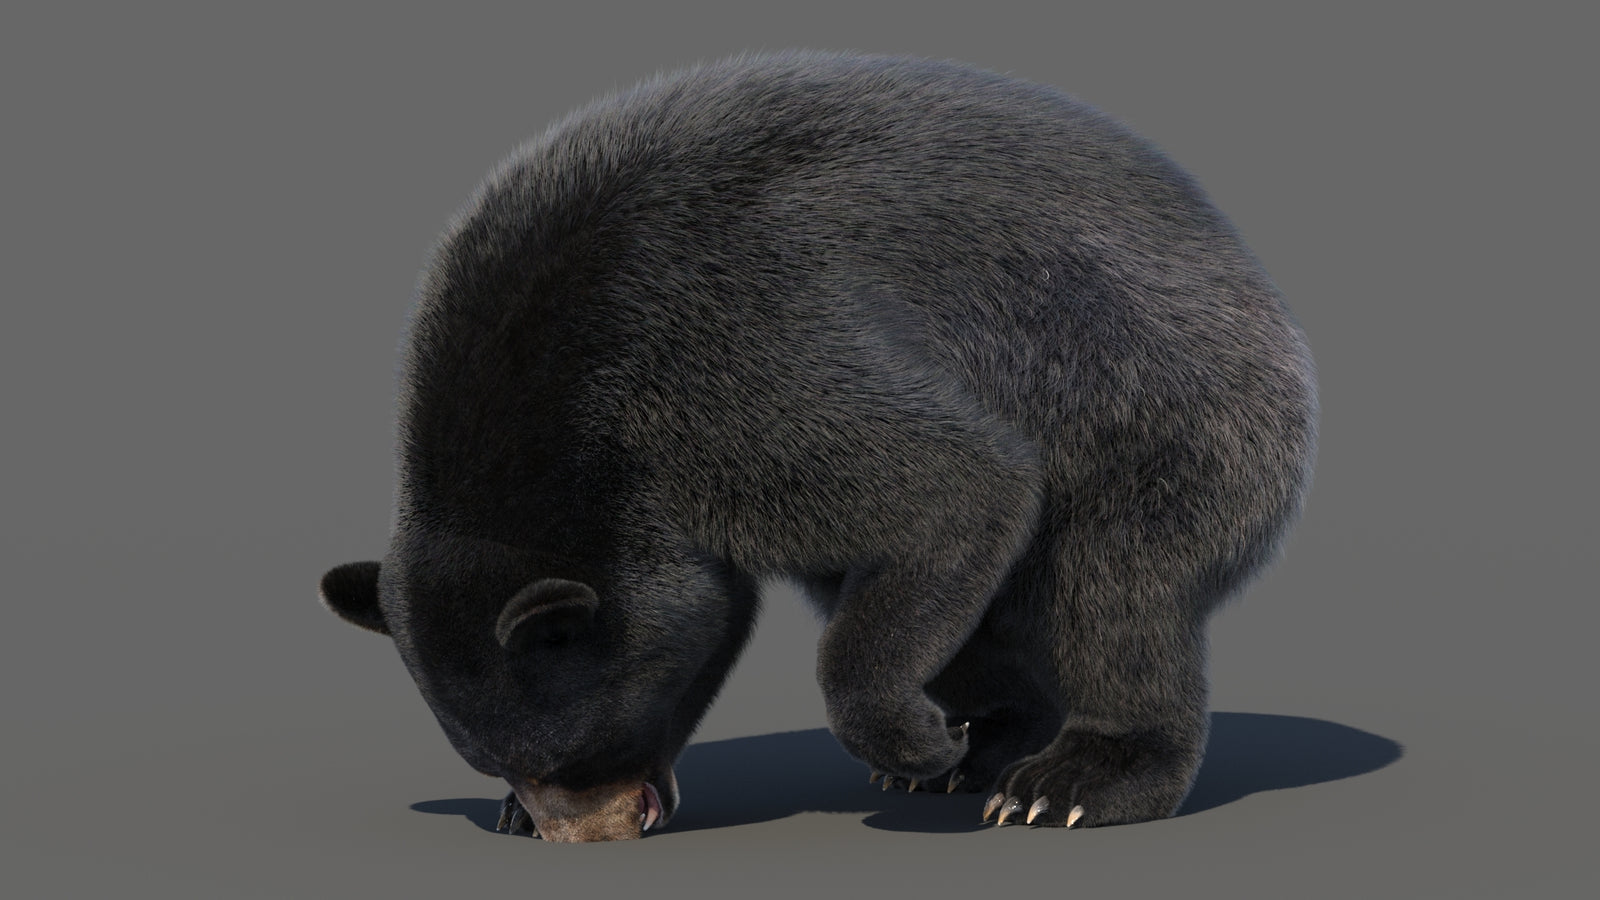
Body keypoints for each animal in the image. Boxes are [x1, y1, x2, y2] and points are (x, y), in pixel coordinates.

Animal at [319, 50, 1317, 842]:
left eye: (576, 749)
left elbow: (960, 485)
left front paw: (917, 735)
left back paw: (1070, 780)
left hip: (1163, 407)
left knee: (1115, 590)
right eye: (495, 759)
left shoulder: (729, 369)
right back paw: (984, 741)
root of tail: (1250, 270)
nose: (588, 832)